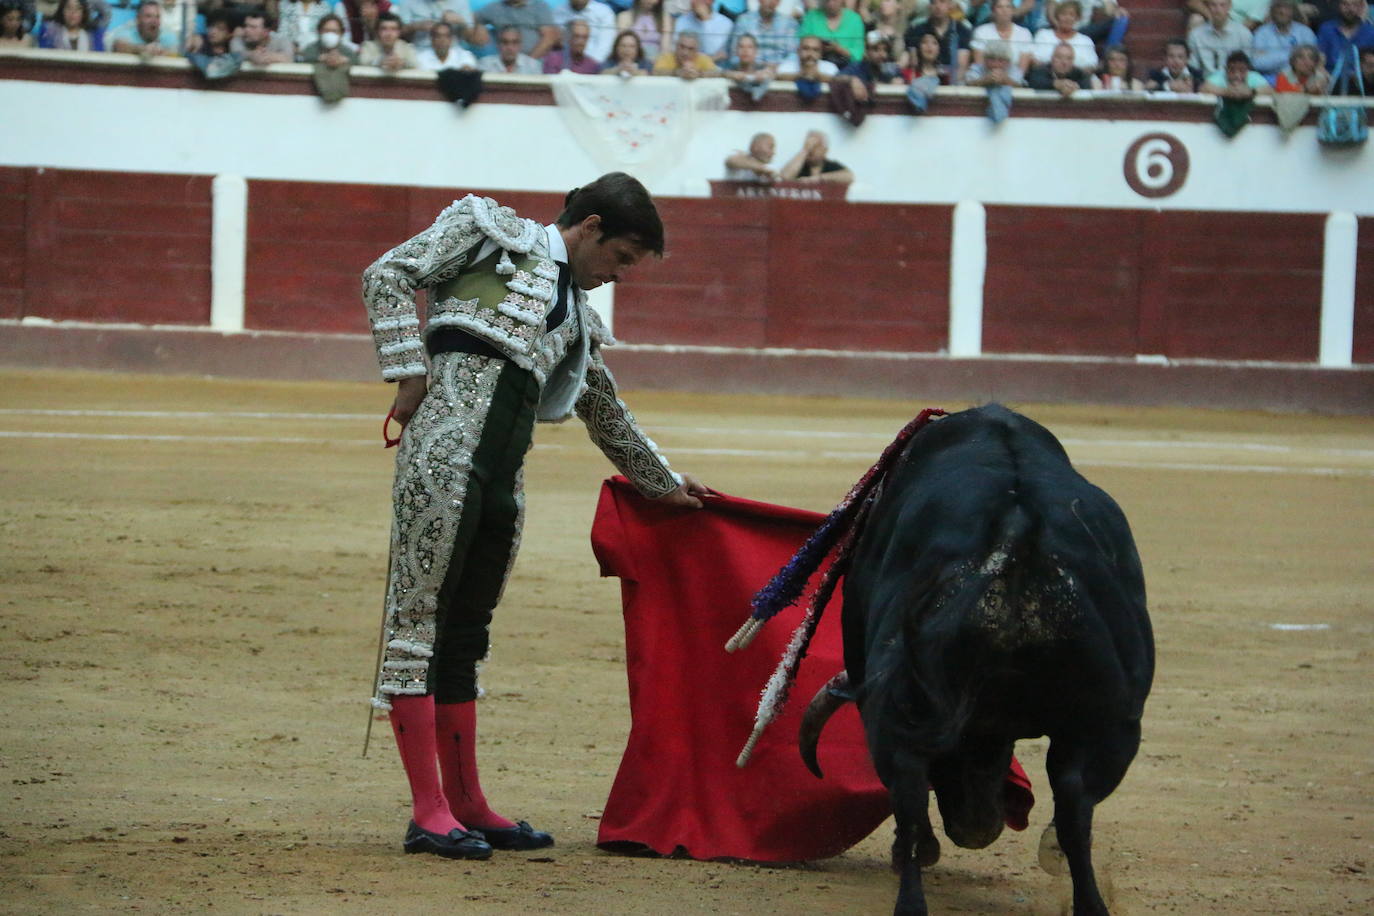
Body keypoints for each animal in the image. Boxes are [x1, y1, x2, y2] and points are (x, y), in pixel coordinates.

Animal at [802, 406, 1154, 916]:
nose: (975, 829)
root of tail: (1017, 535)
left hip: (906, 702)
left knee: (910, 796)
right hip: (1107, 719)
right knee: (1074, 802)